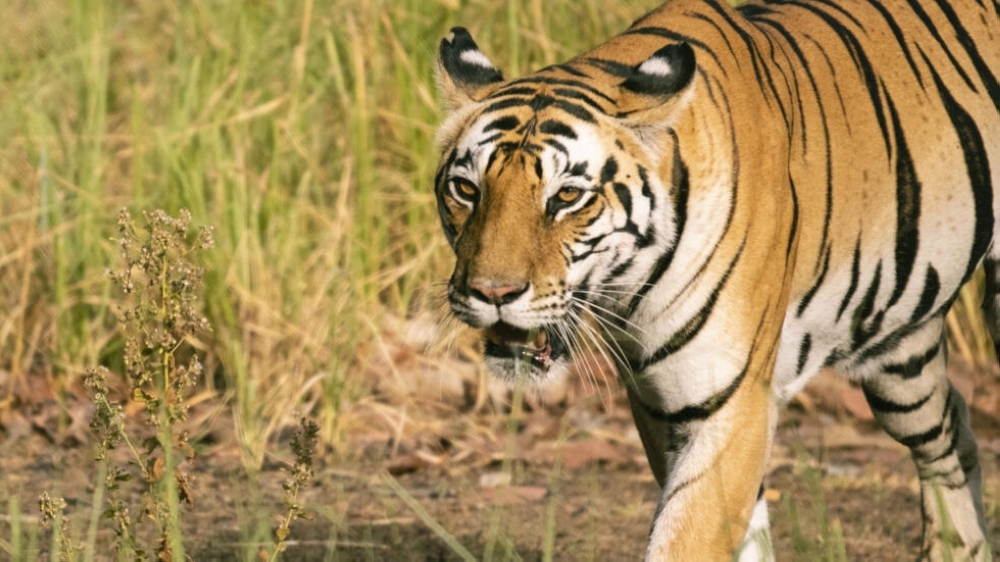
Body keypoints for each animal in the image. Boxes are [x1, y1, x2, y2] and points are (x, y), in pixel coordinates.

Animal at [432, 0, 999, 559]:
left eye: (568, 196)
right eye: (466, 189)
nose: (493, 292)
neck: (633, 291)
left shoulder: (731, 403)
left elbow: (686, 536)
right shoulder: (661, 410)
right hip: (897, 350)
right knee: (949, 430)